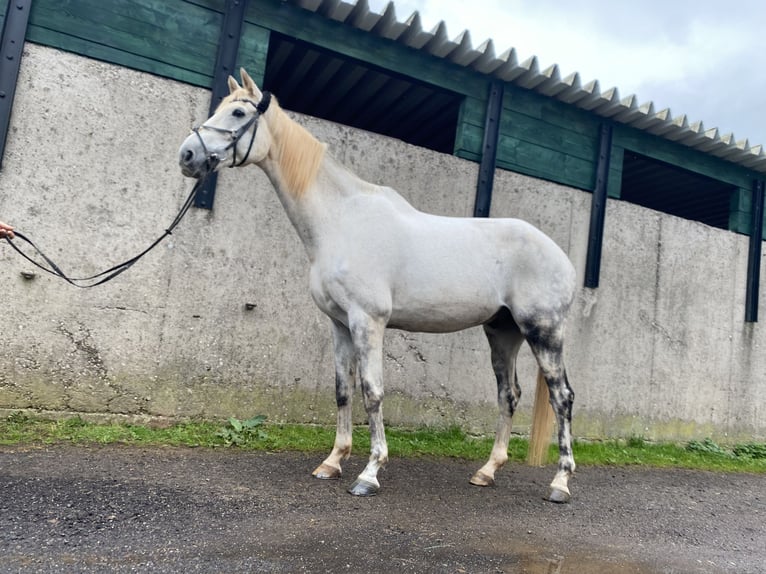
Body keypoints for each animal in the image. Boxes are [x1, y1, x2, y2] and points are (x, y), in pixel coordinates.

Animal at [178, 71, 576, 504]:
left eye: (237, 112)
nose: (187, 156)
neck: (340, 221)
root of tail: (563, 258)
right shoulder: (339, 325)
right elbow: (343, 391)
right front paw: (332, 462)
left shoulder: (368, 321)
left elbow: (372, 391)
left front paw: (369, 473)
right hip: (503, 333)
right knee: (509, 395)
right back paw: (487, 471)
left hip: (544, 332)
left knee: (562, 397)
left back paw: (560, 483)